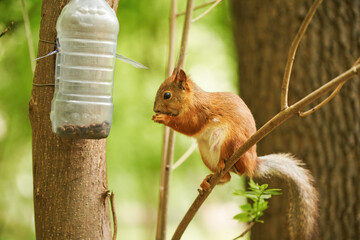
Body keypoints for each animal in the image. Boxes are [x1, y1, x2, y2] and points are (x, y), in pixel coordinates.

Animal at [151, 68, 318, 239]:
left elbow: (189, 125)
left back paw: (222, 164)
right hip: (205, 153)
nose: (155, 109)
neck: (191, 99)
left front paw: (164, 118)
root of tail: (252, 162)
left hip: (230, 139)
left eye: (167, 95)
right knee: (228, 178)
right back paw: (209, 180)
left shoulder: (199, 112)